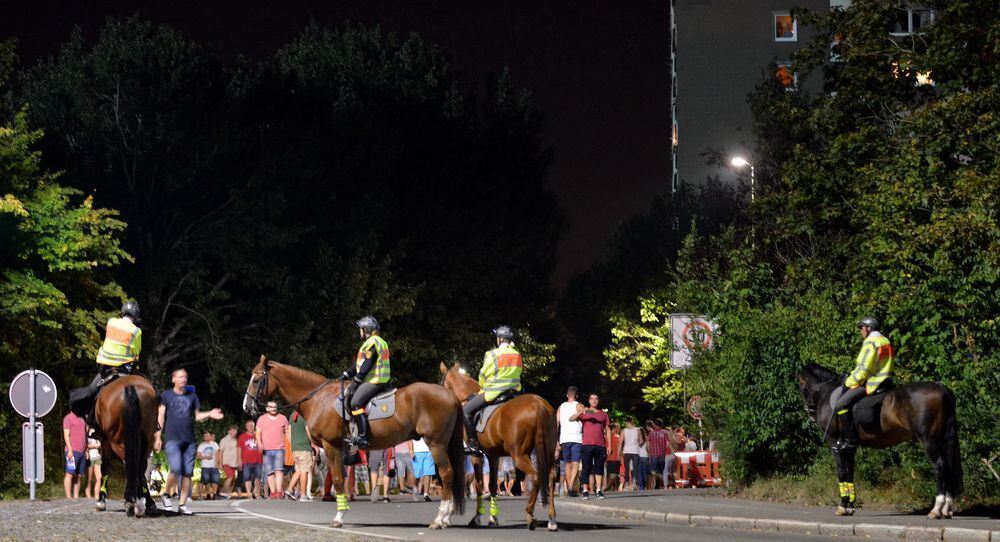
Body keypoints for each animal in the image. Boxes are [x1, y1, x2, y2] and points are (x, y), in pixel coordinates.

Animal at [92, 376, 160, 520]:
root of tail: (129, 387)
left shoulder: (105, 441)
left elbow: (105, 467)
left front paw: (101, 501)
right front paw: (149, 504)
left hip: (116, 441)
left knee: (130, 464)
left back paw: (131, 502)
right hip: (147, 437)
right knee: (140, 465)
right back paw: (141, 504)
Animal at [242, 356, 464, 532]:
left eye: (257, 379)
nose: (246, 406)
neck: (319, 399)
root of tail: (451, 395)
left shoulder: (331, 445)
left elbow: (338, 479)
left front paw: (339, 517)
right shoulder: (339, 449)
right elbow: (339, 478)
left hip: (436, 443)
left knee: (446, 474)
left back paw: (440, 518)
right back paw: (446, 517)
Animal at [440, 364, 560, 532]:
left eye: (442, 382)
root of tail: (539, 405)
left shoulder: (476, 455)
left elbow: (479, 484)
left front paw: (477, 518)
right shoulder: (493, 455)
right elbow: (491, 485)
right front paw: (493, 517)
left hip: (520, 455)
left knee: (536, 476)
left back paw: (530, 514)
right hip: (547, 451)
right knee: (550, 477)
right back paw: (552, 519)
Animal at [796, 364, 960, 520]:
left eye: (801, 385)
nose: (810, 411)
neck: (827, 392)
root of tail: (941, 387)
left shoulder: (834, 443)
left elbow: (842, 473)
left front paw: (842, 506)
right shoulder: (849, 448)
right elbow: (850, 473)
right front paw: (850, 506)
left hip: (929, 440)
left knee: (939, 466)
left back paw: (936, 509)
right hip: (942, 440)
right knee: (949, 467)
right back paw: (946, 509)